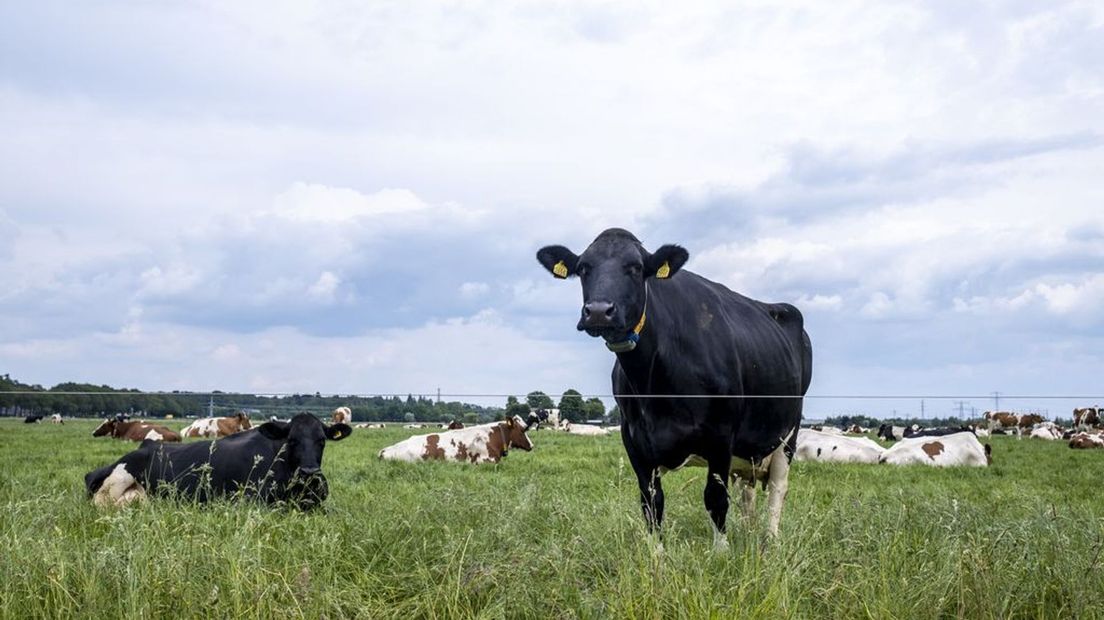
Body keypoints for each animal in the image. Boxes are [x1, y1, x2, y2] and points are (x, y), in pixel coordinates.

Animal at [534, 228, 812, 540]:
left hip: (788, 434)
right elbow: (651, 502)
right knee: (747, 490)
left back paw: (770, 540)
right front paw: (656, 550)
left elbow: (716, 498)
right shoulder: (634, 440)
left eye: (636, 268)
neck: (654, 385)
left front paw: (721, 548)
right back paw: (749, 532)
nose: (597, 311)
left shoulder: (721, 434)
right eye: (583, 268)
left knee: (777, 489)